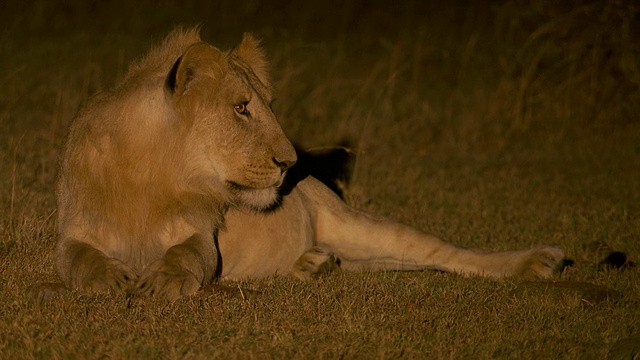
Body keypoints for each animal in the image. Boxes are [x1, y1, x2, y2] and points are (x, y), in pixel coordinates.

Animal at [56, 26, 564, 300]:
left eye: (268, 105)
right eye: (242, 108)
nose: (291, 162)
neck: (152, 177)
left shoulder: (202, 234)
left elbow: (187, 254)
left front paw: (164, 279)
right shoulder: (75, 228)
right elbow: (78, 257)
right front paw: (107, 278)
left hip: (354, 221)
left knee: (444, 254)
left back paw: (539, 262)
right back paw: (314, 265)